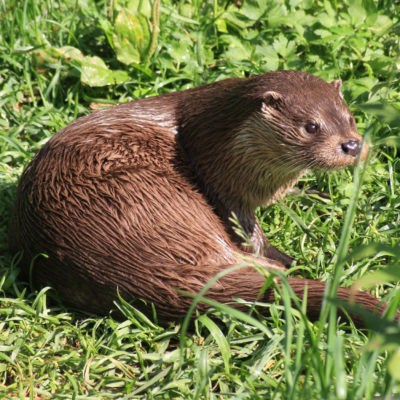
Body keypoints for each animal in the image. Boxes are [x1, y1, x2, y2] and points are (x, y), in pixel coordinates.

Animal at [8, 70, 384, 326]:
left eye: (350, 117)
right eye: (311, 126)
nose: (351, 145)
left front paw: (310, 193)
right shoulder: (221, 184)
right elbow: (250, 233)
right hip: (148, 197)